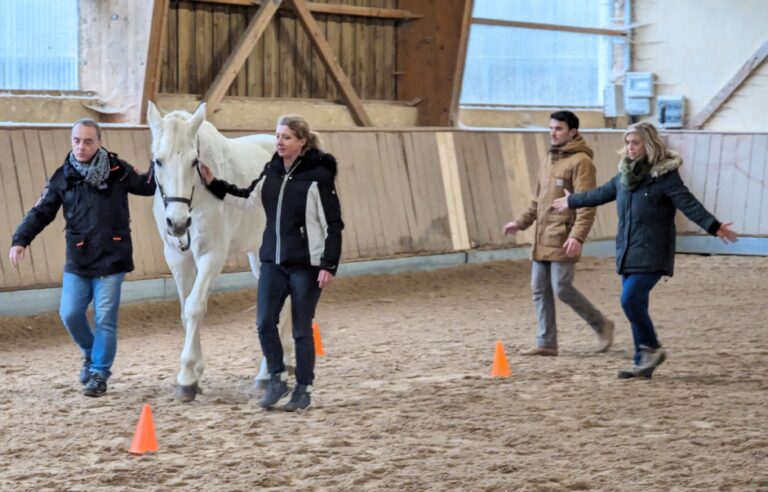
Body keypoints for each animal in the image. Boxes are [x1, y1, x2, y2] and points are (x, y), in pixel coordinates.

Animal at [146, 101, 293, 402]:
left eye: (194, 161)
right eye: (158, 160)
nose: (178, 223)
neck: (199, 195)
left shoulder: (212, 255)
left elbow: (195, 307)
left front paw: (187, 378)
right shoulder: (177, 258)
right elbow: (185, 310)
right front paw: (196, 373)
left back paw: (271, 372)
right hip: (259, 255)